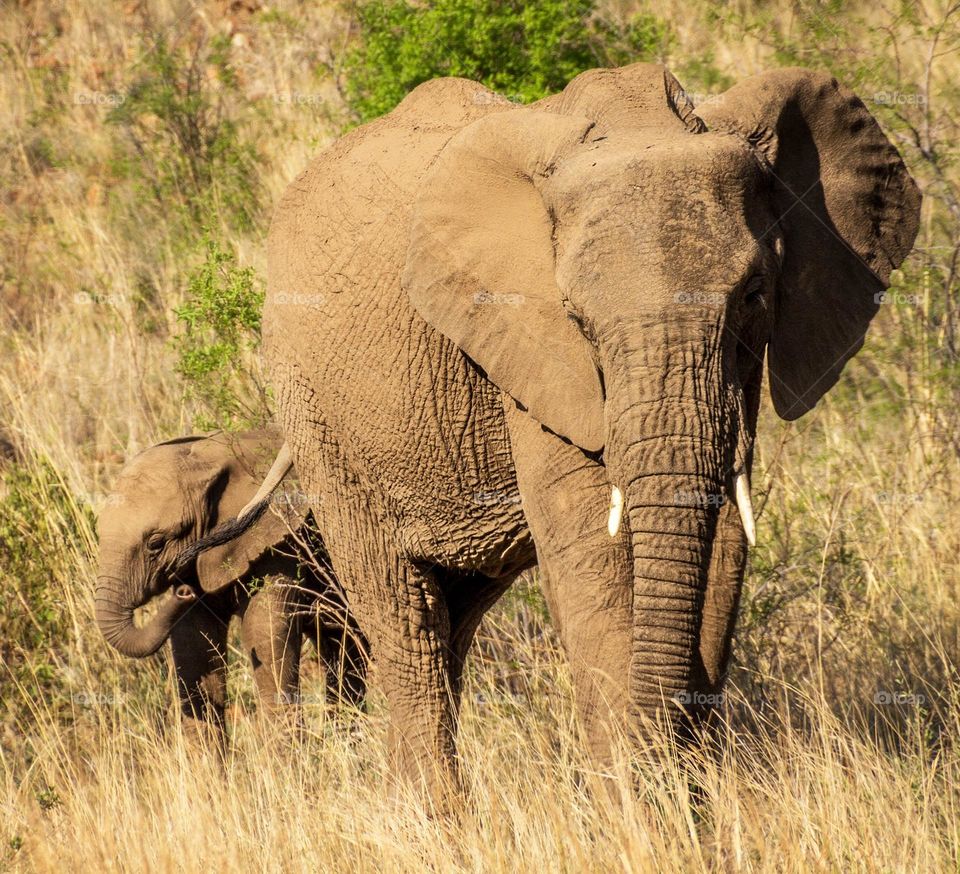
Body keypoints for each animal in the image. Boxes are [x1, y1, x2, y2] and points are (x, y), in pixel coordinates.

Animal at [94, 426, 364, 740]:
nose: (183, 592)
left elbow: (266, 638)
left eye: (156, 544)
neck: (209, 456)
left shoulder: (276, 543)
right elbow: (195, 650)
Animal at [244, 61, 920, 796]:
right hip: (316, 414)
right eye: (576, 317)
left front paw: (687, 802)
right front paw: (642, 805)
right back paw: (436, 815)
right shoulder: (527, 348)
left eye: (753, 295)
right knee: (403, 616)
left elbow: (720, 549)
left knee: (450, 623)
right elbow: (591, 552)